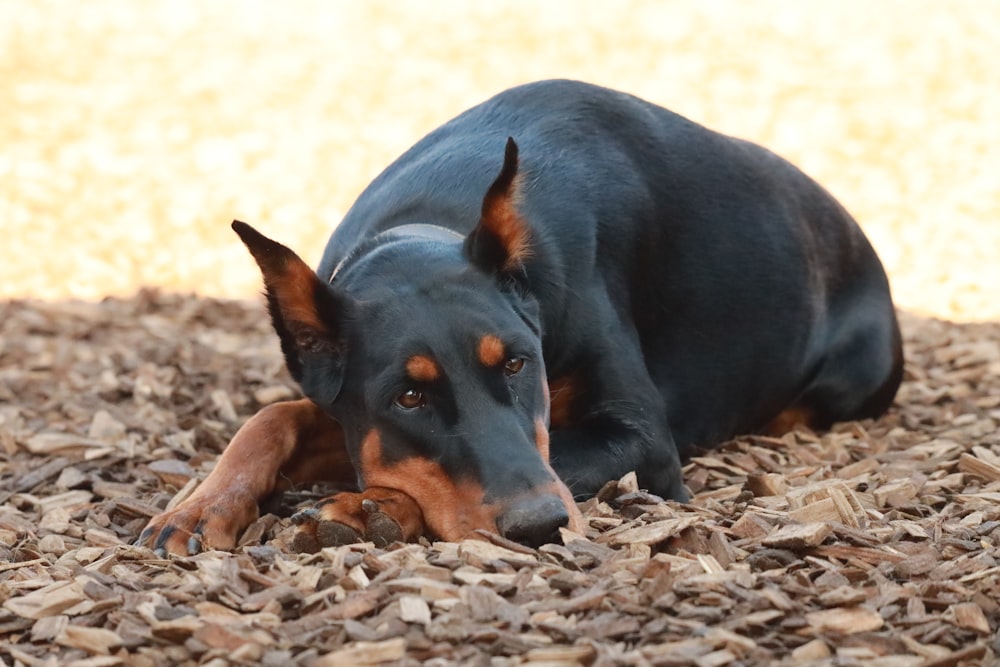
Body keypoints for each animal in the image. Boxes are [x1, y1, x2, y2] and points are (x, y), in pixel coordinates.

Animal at [137, 81, 904, 556]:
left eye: (515, 362)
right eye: (408, 396)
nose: (541, 525)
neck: (426, 224)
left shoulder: (644, 440)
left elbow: (556, 451)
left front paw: (369, 507)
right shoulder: (347, 402)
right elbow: (273, 417)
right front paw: (199, 507)